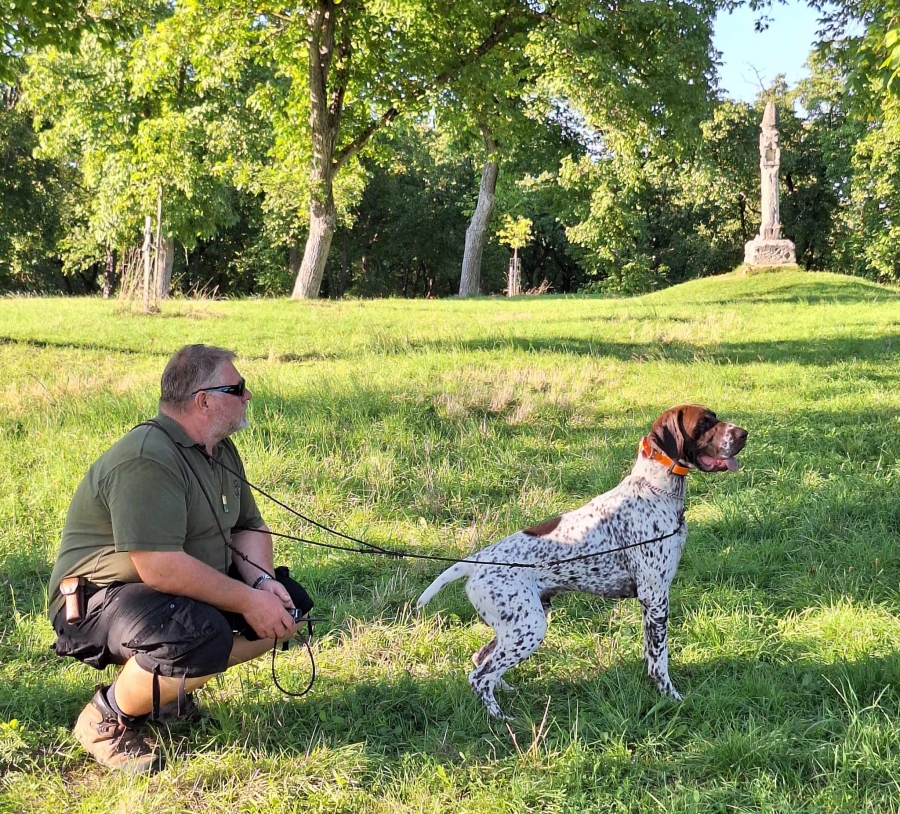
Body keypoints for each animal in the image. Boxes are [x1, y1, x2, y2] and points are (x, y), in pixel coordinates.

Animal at [416, 405, 747, 719]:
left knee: (481, 660)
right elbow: (660, 662)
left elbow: (650, 654)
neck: (656, 491)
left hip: (517, 624)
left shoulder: (649, 604)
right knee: (479, 676)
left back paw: (507, 690)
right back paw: (502, 719)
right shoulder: (656, 598)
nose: (743, 434)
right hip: (529, 627)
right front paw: (671, 697)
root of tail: (475, 562)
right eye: (704, 423)